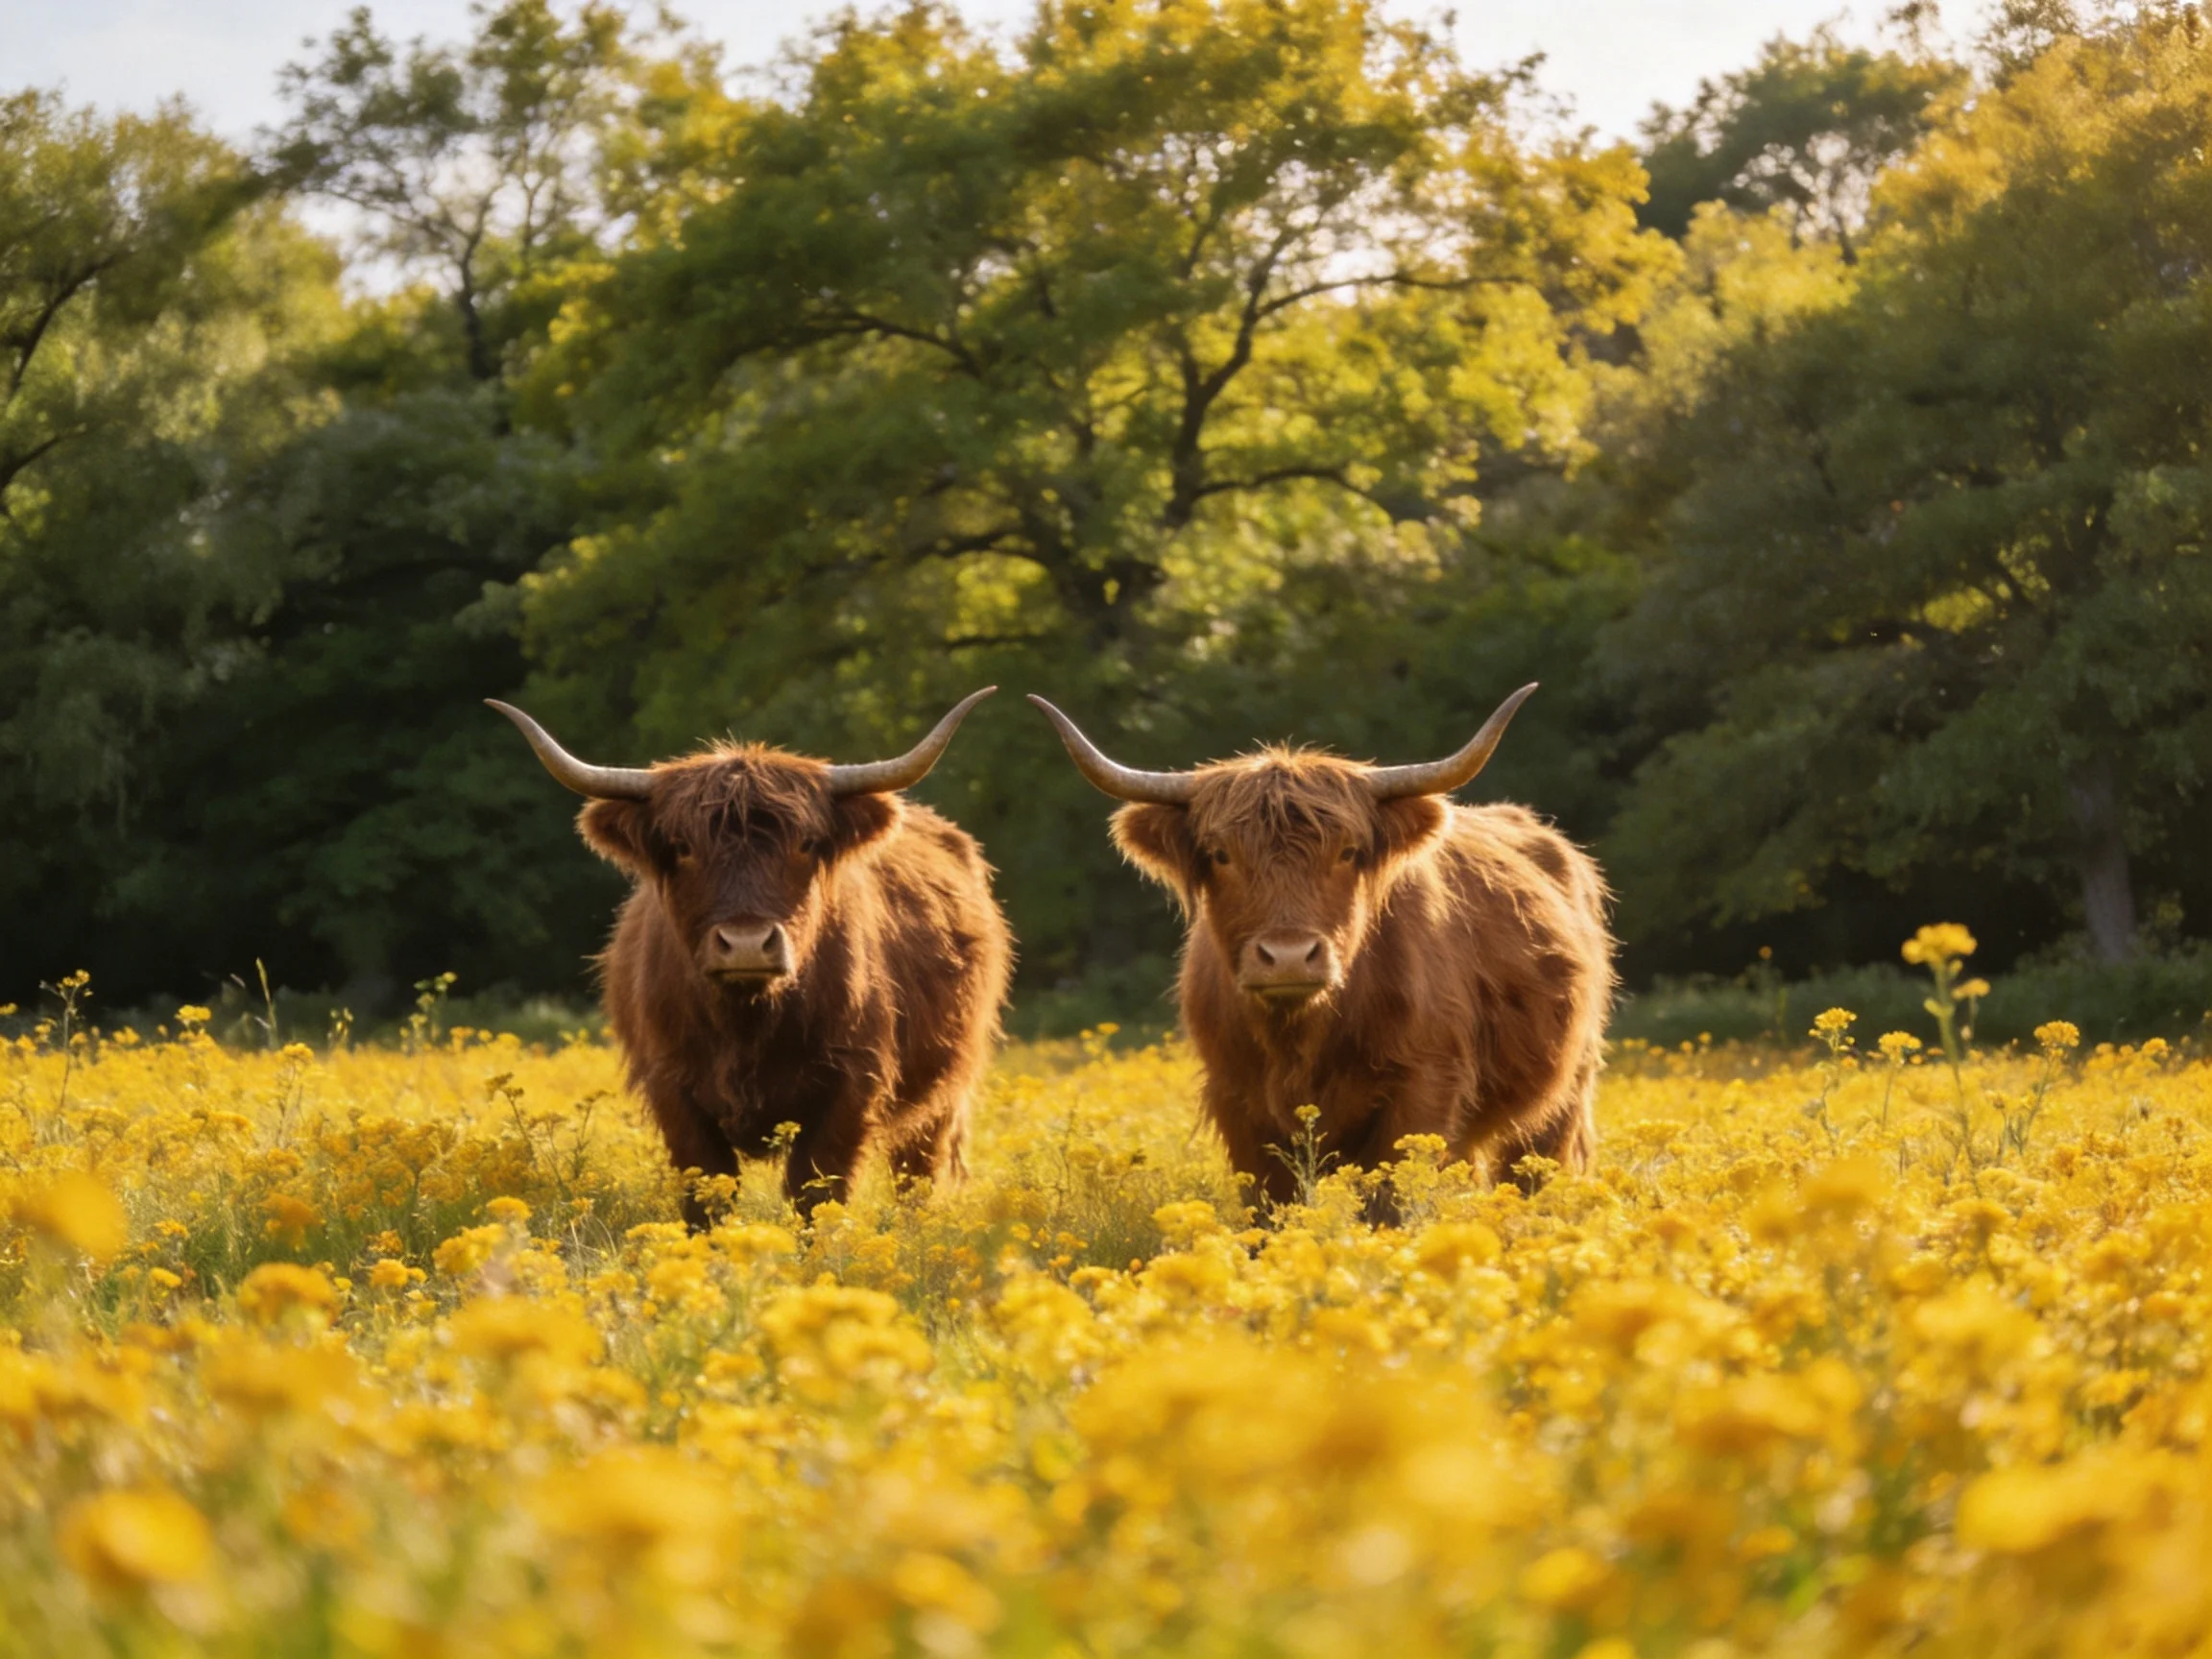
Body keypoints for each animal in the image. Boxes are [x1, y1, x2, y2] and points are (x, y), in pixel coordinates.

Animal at [491, 689, 1012, 1226]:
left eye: (805, 843)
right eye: (682, 847)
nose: (745, 943)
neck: (747, 1021)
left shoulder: (851, 1083)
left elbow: (816, 1189)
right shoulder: (672, 1085)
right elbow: (707, 1189)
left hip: (945, 1091)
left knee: (917, 1169)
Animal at [1029, 686, 1612, 1215]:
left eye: (1348, 852)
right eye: (1220, 855)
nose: (1288, 956)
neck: (1302, 1035)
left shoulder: (1424, 1089)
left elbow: (1390, 1207)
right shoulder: (1236, 1100)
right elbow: (1270, 1213)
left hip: (1565, 1092)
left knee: (1533, 1173)